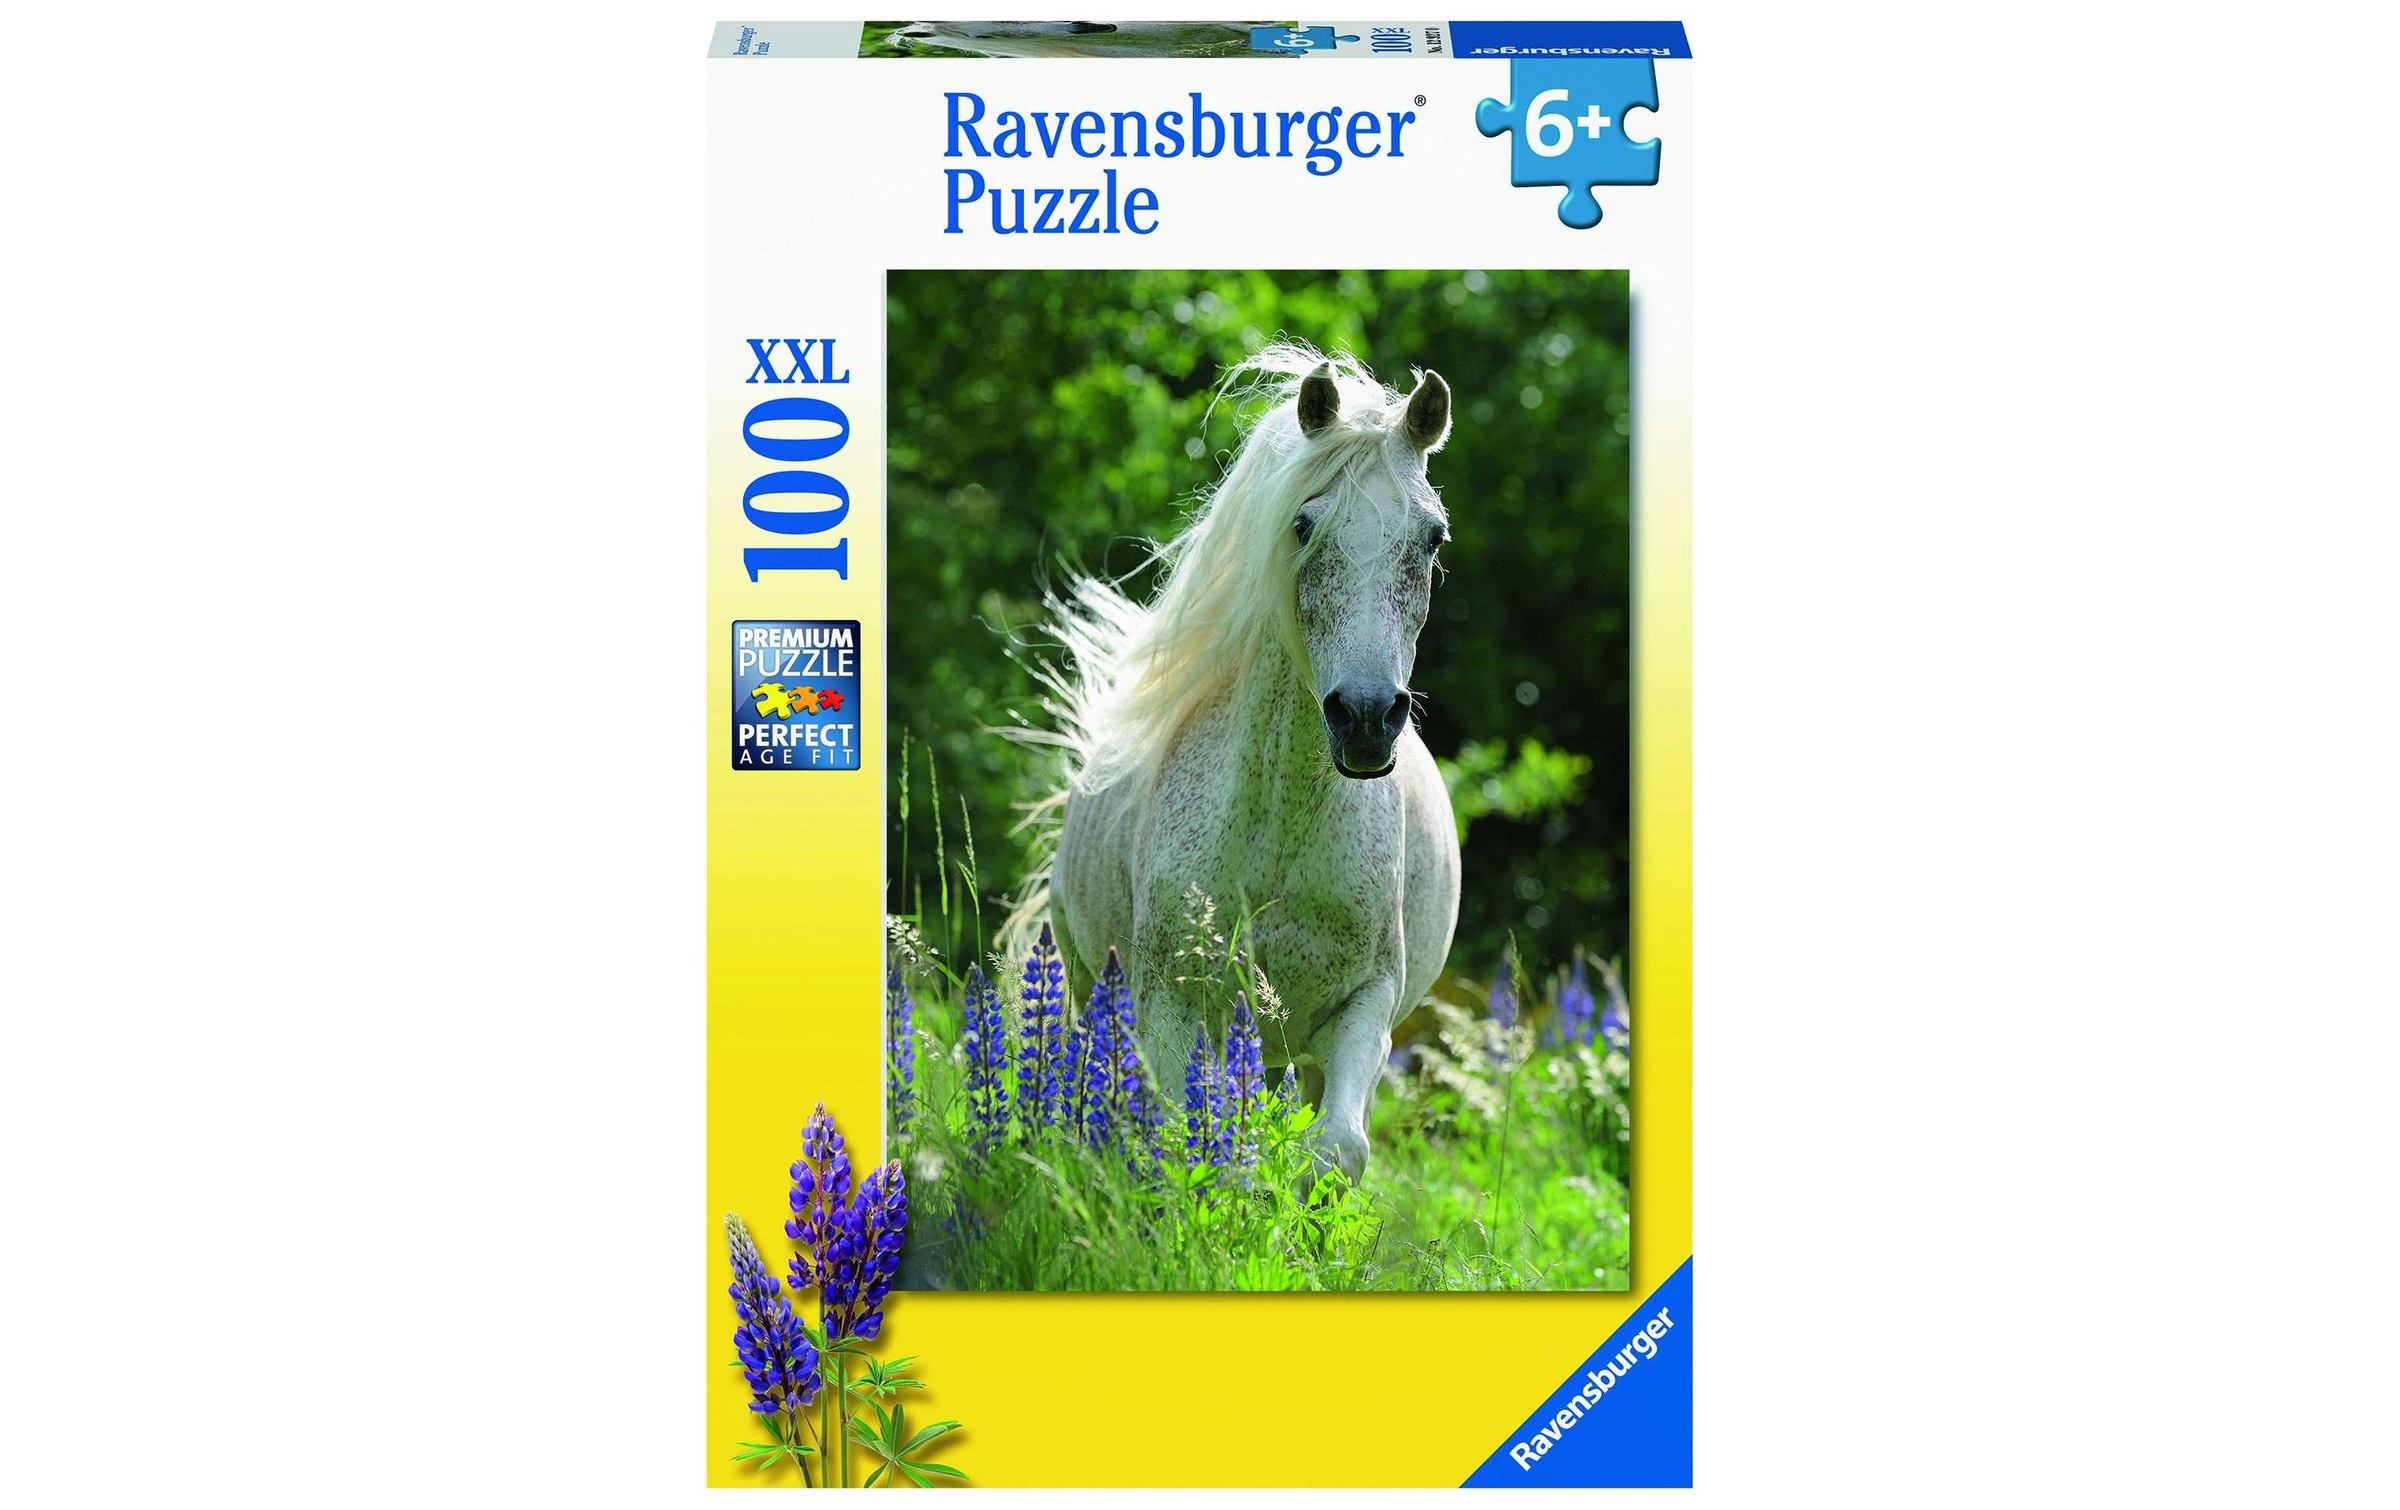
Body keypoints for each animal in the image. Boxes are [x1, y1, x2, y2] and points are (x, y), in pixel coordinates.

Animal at [1009, 346, 1462, 1183]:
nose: (1365, 720)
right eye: (1304, 524)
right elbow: (1189, 1145)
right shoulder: (1171, 1005)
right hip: (1089, 982)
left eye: (1433, 538)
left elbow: (1337, 1150)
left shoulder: (1365, 1006)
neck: (1279, 826)